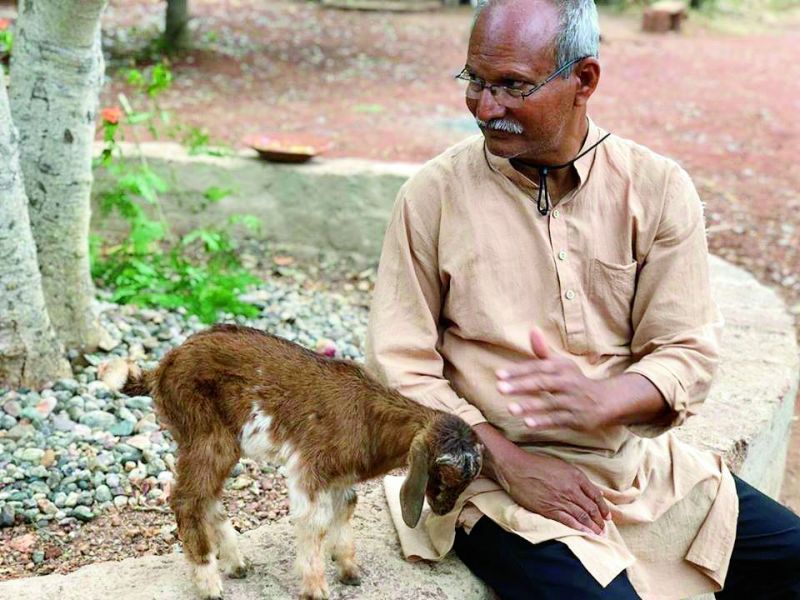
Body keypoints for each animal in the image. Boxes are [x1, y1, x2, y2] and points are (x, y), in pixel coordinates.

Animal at [112, 326, 482, 596]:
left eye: (470, 477)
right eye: (442, 474)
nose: (446, 510)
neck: (369, 419)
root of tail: (162, 368)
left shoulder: (341, 477)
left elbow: (346, 508)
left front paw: (348, 569)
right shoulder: (311, 469)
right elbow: (314, 524)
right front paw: (316, 589)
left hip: (217, 441)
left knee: (208, 497)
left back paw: (235, 563)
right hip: (205, 432)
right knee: (188, 499)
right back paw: (209, 584)